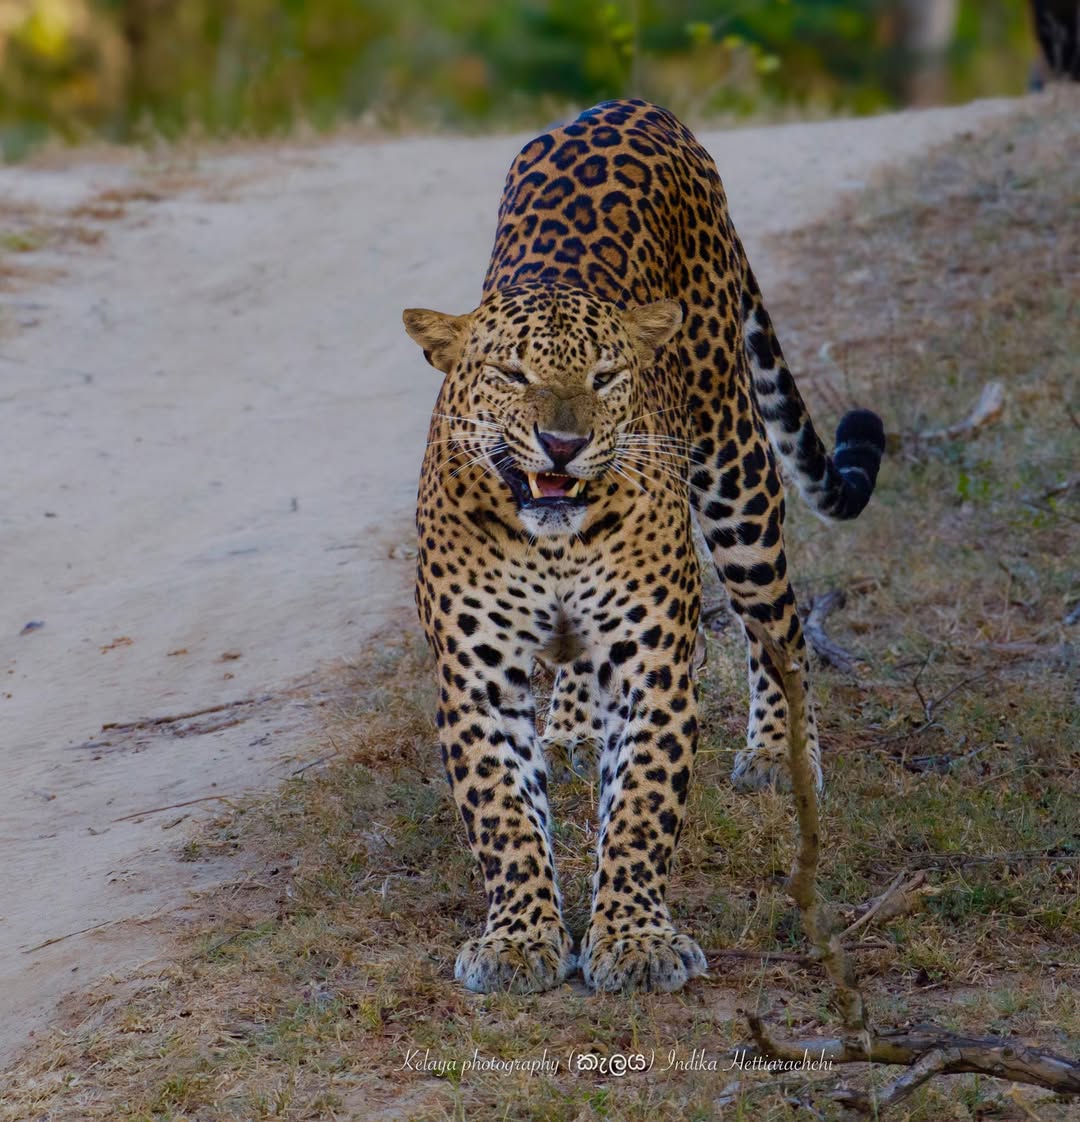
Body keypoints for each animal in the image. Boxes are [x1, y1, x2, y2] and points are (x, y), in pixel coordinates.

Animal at [402, 98, 885, 995]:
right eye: (511, 375)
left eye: (605, 377)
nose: (561, 445)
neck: (554, 544)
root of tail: (632, 107)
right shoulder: (477, 679)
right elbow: (504, 817)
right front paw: (519, 939)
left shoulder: (650, 664)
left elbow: (641, 808)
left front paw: (634, 938)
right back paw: (568, 727)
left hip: (735, 473)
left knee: (779, 625)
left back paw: (779, 754)